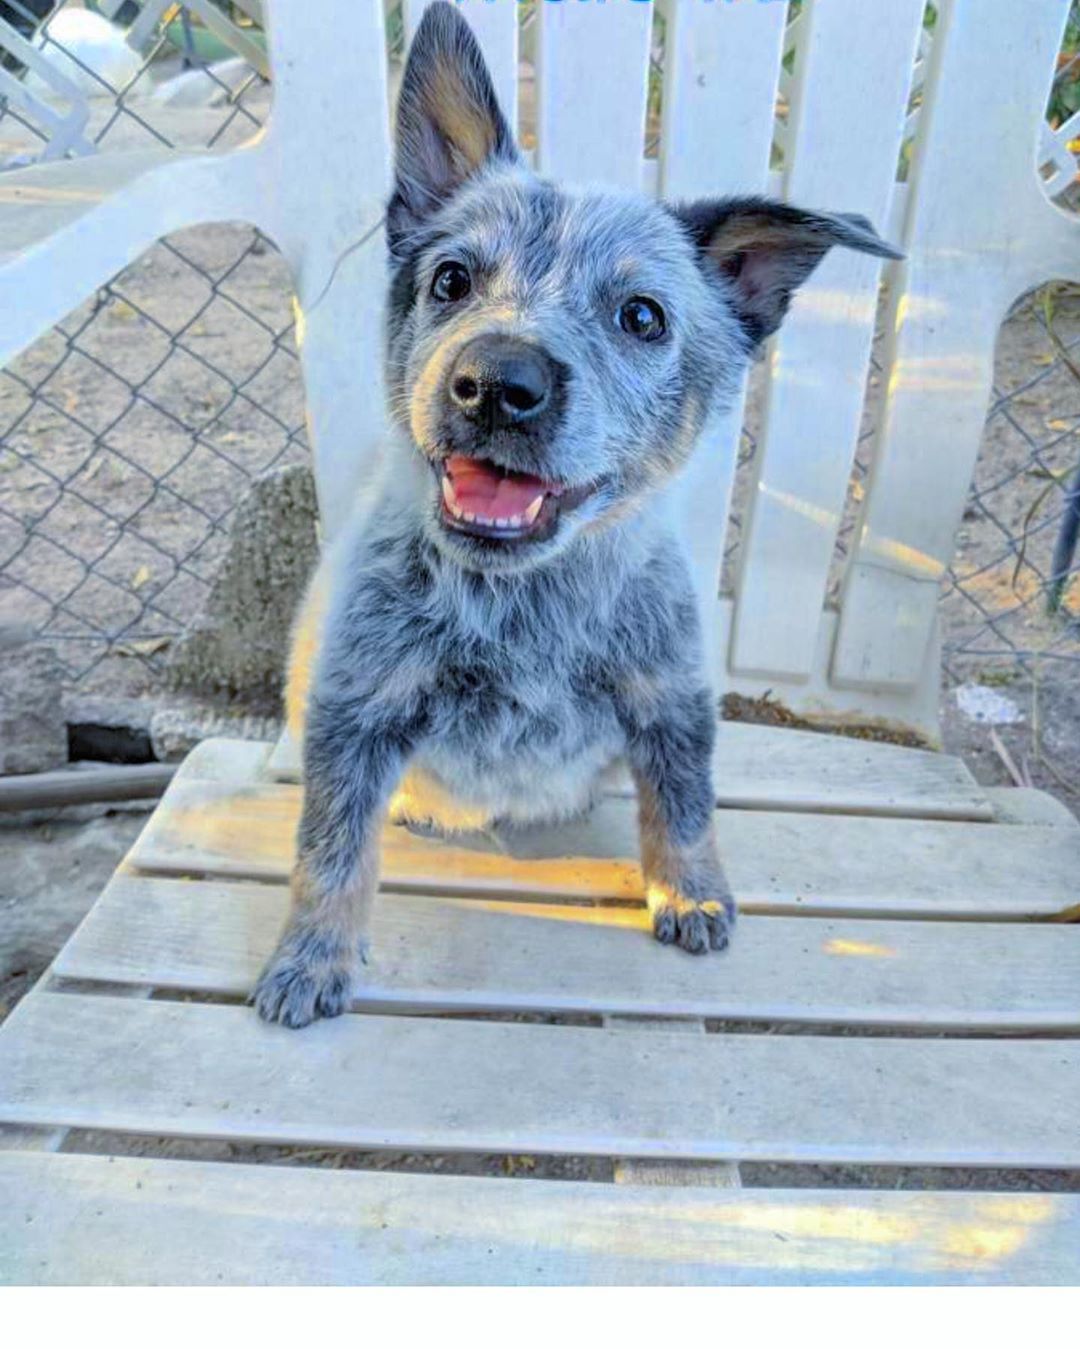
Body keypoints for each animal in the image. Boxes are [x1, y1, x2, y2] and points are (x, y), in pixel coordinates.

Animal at [250, 5, 895, 1025]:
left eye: (642, 315)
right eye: (451, 279)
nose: (496, 382)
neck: (525, 608)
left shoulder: (670, 694)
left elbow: (685, 802)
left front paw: (691, 891)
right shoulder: (358, 707)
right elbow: (330, 848)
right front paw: (312, 957)